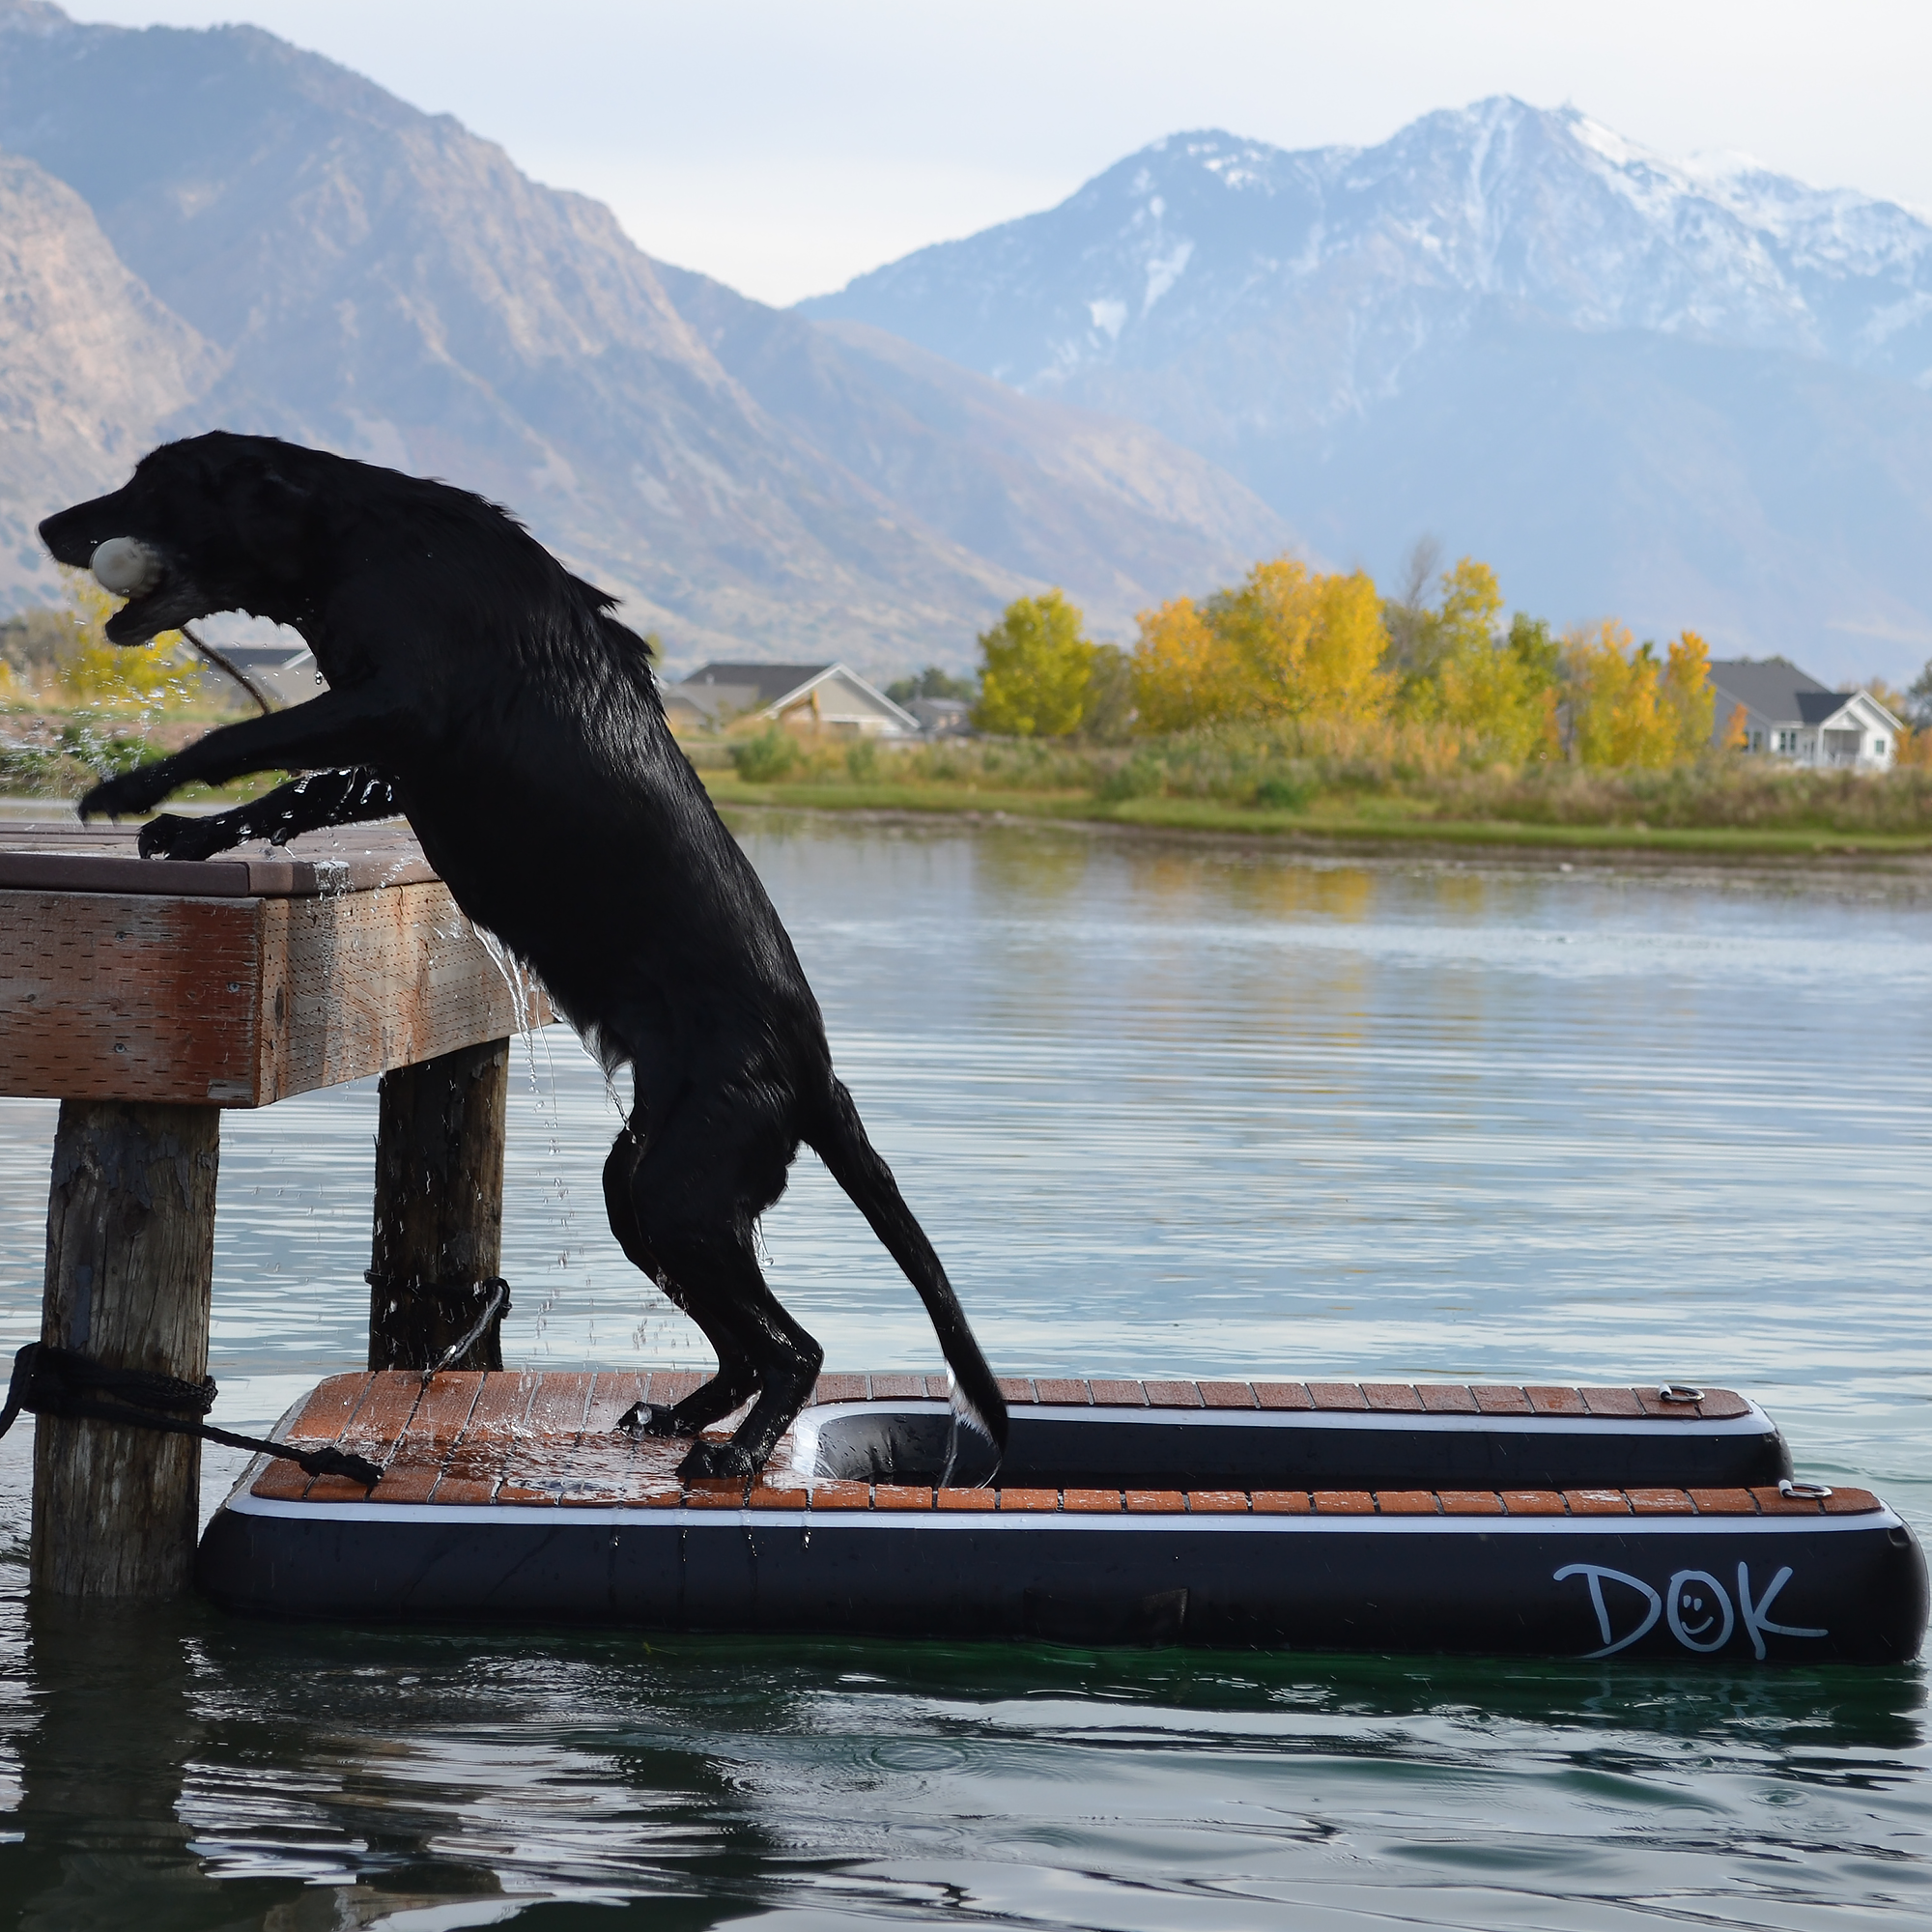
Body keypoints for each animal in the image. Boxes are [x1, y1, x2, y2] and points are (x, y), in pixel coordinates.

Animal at [42, 435, 1012, 1476]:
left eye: (150, 482)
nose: (51, 526)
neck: (360, 536)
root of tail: (815, 1067)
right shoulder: (389, 754)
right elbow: (289, 793)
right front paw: (187, 831)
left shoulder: (400, 700)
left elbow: (242, 735)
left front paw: (137, 784)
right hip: (642, 1187)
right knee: (744, 1346)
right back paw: (679, 1417)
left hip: (682, 1189)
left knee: (795, 1348)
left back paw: (738, 1452)